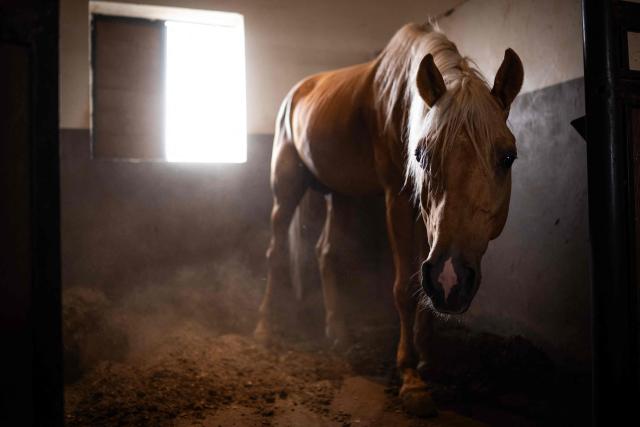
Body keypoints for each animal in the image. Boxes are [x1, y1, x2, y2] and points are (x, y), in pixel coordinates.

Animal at [255, 22, 524, 416]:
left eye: (507, 157)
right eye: (421, 155)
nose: (452, 279)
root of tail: (296, 92)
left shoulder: (430, 223)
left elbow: (425, 294)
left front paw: (428, 362)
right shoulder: (397, 199)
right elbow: (404, 289)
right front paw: (410, 378)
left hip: (342, 195)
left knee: (325, 253)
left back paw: (338, 333)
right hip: (286, 188)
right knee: (275, 254)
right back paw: (265, 330)